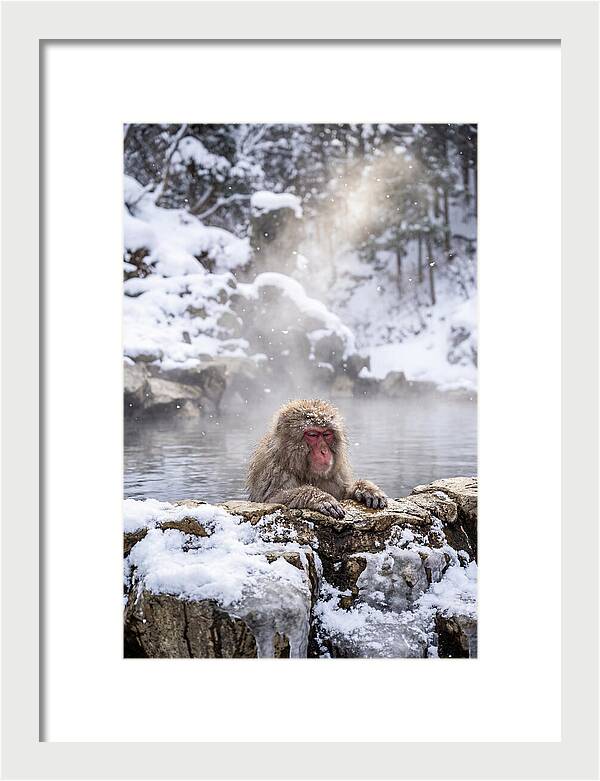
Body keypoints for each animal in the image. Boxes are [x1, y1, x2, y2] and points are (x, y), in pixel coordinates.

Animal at [247, 399, 388, 519]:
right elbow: (271, 499)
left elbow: (344, 493)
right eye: (312, 435)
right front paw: (320, 498)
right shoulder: (273, 469)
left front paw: (365, 489)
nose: (324, 451)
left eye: (327, 434)